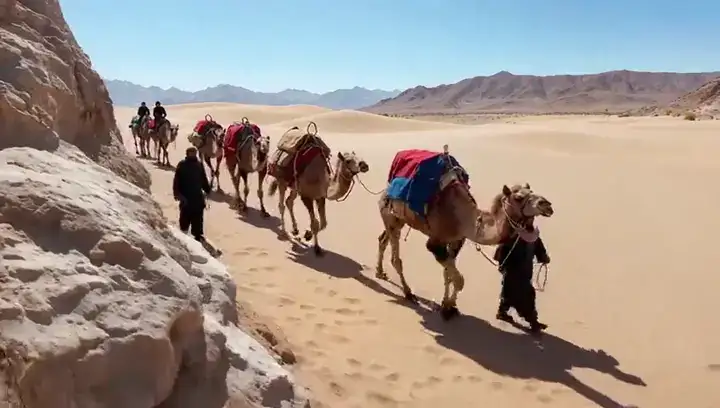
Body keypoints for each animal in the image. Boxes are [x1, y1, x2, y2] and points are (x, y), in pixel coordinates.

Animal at [375, 148, 554, 320]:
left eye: (532, 191)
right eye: (518, 197)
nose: (547, 205)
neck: (465, 218)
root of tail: (386, 190)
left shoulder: (457, 240)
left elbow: (448, 274)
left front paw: (448, 306)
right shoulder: (435, 242)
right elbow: (459, 280)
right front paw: (448, 308)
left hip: (399, 219)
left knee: (382, 239)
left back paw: (380, 272)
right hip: (390, 216)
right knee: (396, 258)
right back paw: (408, 292)